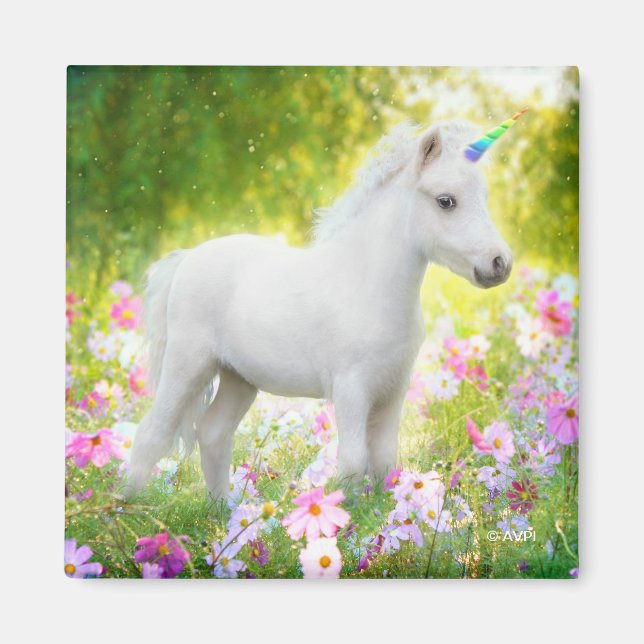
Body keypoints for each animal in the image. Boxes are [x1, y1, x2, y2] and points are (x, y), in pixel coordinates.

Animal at [126, 116, 518, 500]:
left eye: (483, 197)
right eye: (446, 201)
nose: (500, 263)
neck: (368, 287)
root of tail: (186, 258)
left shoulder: (393, 389)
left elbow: (385, 460)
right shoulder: (351, 388)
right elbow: (354, 461)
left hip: (239, 378)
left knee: (213, 433)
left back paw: (224, 513)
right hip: (188, 365)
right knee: (152, 434)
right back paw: (128, 506)